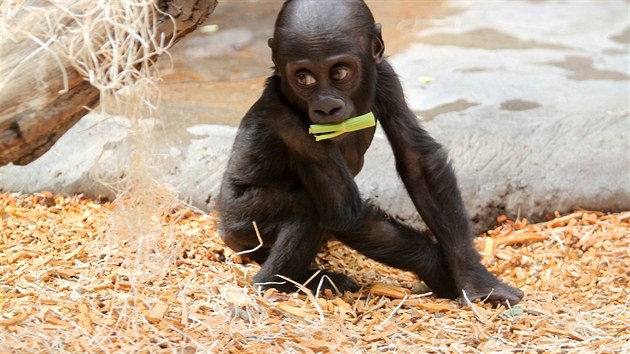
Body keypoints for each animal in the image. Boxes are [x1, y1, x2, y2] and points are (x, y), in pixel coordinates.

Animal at [220, 0, 524, 306]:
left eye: (339, 73)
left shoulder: (386, 76)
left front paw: (474, 276)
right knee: (306, 206)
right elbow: (347, 212)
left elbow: (418, 161)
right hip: (239, 221)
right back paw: (279, 283)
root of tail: (222, 231)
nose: (326, 108)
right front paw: (438, 268)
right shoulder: (289, 124)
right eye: (303, 77)